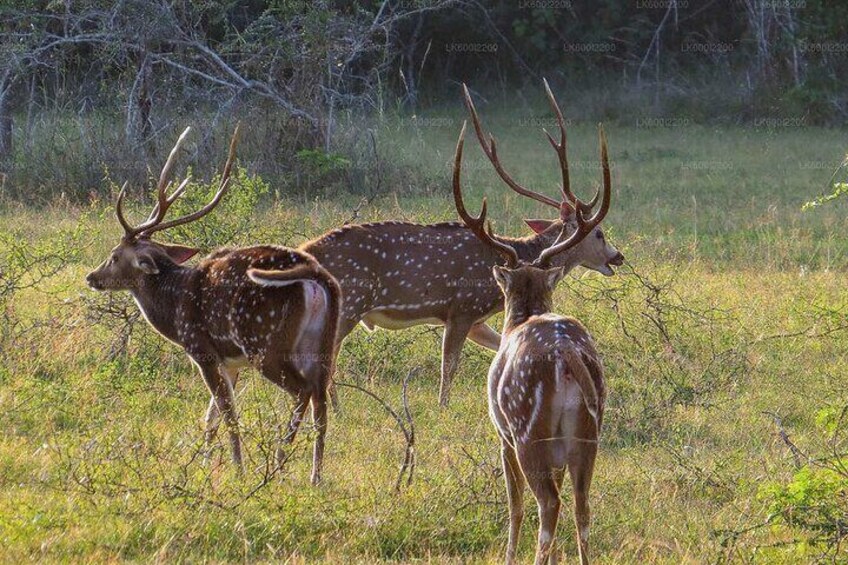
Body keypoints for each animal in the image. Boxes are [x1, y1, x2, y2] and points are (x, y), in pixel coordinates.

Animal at [84, 126, 340, 484]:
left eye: (115, 256)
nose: (92, 277)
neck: (174, 307)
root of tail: (318, 277)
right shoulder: (229, 362)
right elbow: (211, 417)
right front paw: (205, 464)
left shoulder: (202, 350)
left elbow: (227, 413)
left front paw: (236, 469)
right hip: (322, 344)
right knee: (321, 399)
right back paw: (315, 477)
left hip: (265, 343)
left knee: (302, 391)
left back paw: (277, 462)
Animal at [304, 79, 624, 406]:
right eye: (599, 233)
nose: (617, 256)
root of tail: (307, 250)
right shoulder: (461, 308)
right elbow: (449, 368)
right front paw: (442, 408)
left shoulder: (477, 320)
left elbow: (500, 348)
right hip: (350, 302)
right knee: (324, 358)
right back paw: (334, 408)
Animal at [454, 117, 608, 560]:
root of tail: (566, 356)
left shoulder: (501, 433)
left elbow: (514, 505)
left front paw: (506, 555)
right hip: (588, 433)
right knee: (581, 505)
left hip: (527, 430)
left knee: (547, 505)